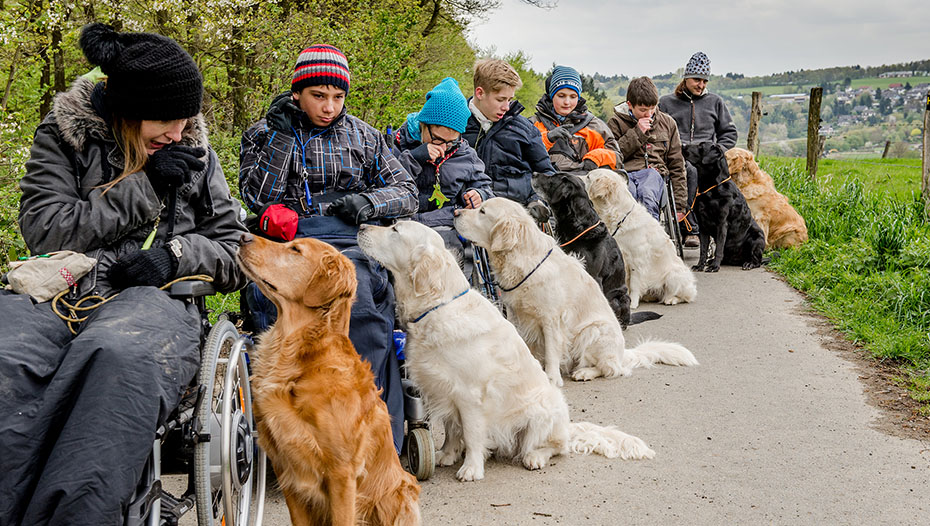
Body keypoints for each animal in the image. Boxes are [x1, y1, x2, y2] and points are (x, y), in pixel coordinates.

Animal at [680, 142, 760, 274]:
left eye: (701, 146)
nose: (683, 144)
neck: (709, 188)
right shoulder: (703, 226)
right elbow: (703, 250)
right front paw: (700, 265)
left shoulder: (722, 224)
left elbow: (719, 248)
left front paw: (714, 267)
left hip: (757, 237)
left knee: (757, 260)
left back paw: (748, 263)